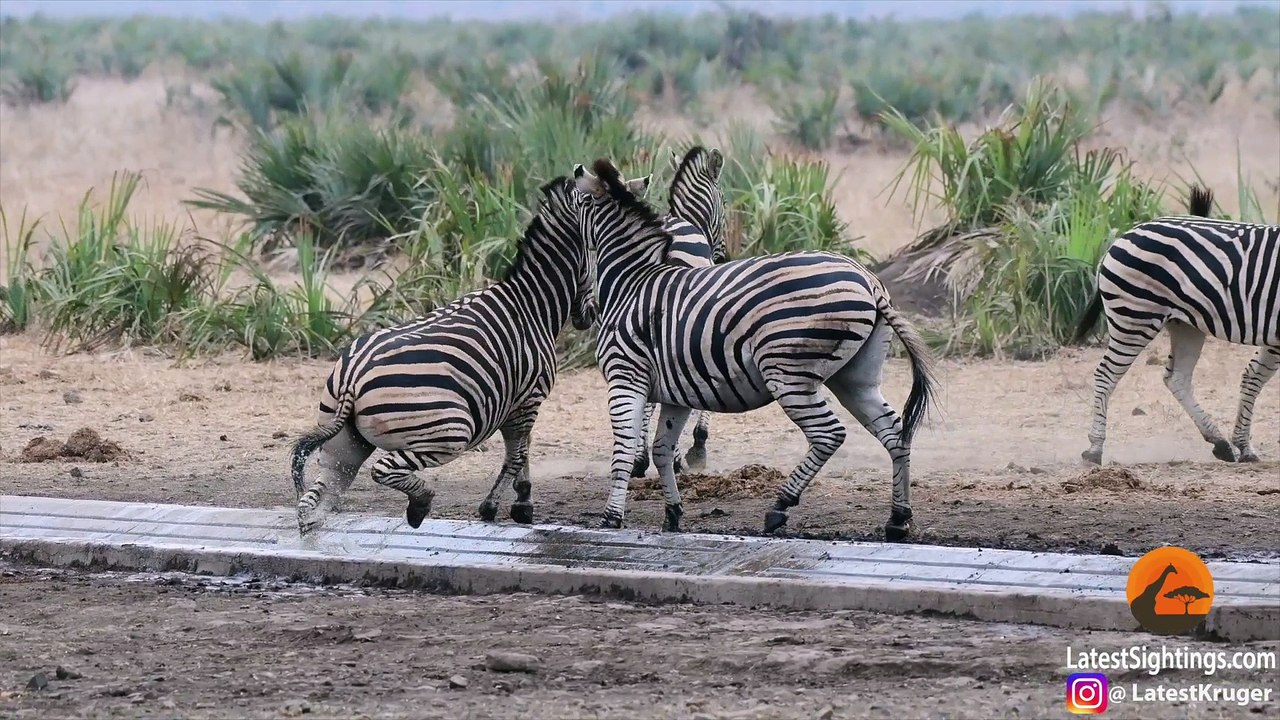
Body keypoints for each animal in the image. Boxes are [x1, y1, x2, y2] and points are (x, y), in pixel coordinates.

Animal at [290, 175, 611, 534]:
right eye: (595, 259)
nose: (591, 316)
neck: (531, 303)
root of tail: (353, 377)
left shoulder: (514, 403)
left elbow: (523, 451)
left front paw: (521, 501)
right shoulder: (528, 398)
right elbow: (517, 455)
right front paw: (499, 506)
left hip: (342, 442)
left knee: (317, 498)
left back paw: (316, 529)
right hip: (450, 431)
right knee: (383, 470)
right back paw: (420, 504)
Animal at [1073, 184, 1279, 465]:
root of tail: (1125, 235)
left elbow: (1253, 377)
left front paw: (1244, 446)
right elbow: (1255, 377)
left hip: (1185, 324)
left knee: (1177, 378)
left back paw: (1220, 443)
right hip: (1135, 317)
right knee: (1106, 374)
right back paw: (1095, 449)